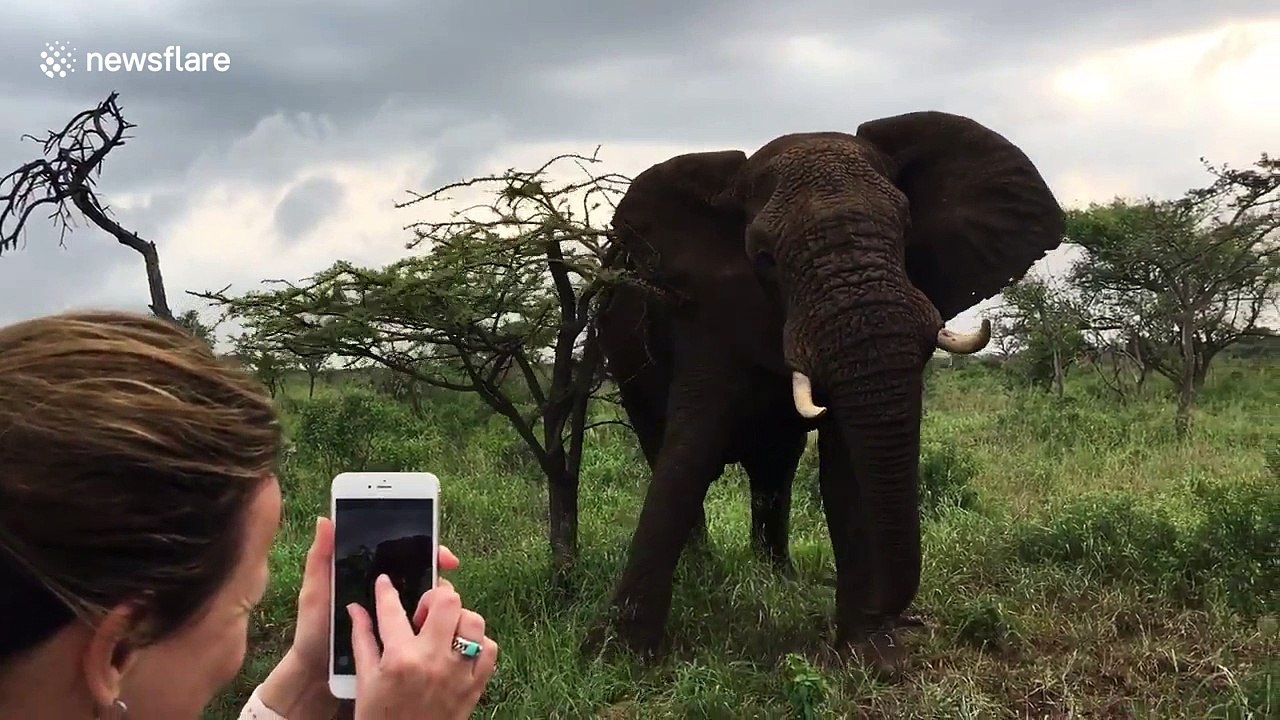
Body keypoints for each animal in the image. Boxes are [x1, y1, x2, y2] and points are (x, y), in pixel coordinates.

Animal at [589, 111, 1065, 675]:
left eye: (907, 229)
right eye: (764, 258)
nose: (903, 616)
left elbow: (845, 470)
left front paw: (870, 655)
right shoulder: (705, 309)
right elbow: (688, 451)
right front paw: (616, 656)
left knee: (776, 468)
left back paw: (777, 578)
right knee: (661, 443)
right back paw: (704, 572)